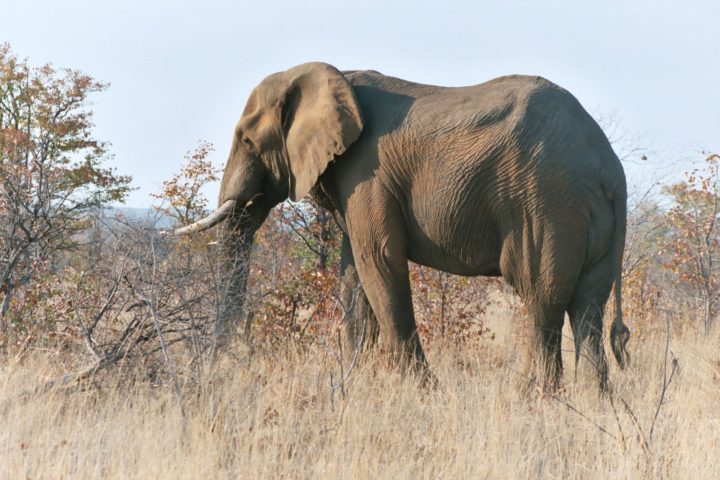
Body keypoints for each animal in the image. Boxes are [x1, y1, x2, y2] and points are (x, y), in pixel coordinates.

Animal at [175, 62, 630, 392]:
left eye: (247, 141)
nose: (214, 372)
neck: (329, 75)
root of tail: (611, 170)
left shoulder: (368, 171)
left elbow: (379, 260)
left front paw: (424, 393)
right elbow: (354, 275)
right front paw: (354, 383)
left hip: (546, 204)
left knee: (542, 301)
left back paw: (533, 401)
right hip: (588, 218)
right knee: (588, 309)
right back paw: (593, 405)